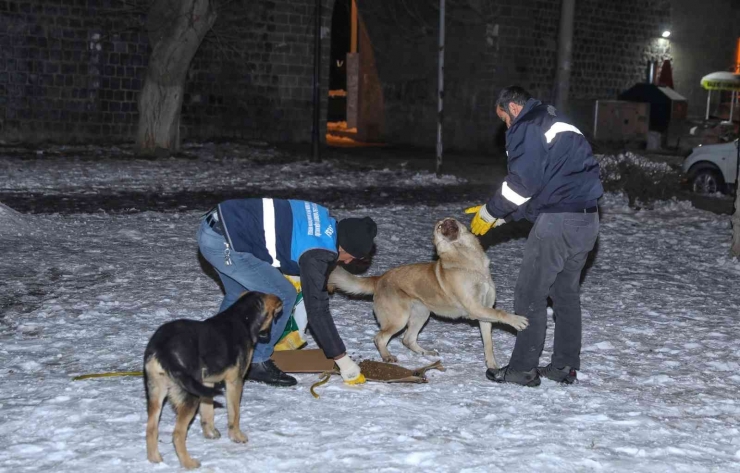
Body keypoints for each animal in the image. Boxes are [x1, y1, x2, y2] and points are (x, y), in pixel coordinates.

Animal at [144, 290, 280, 466]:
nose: (267, 336)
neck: (242, 317)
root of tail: (162, 347)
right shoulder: (235, 382)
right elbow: (234, 414)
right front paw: (237, 436)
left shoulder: (207, 383)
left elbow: (207, 411)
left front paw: (210, 433)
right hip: (189, 395)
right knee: (177, 434)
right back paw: (188, 463)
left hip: (156, 392)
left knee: (151, 429)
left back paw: (155, 460)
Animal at [328, 218, 528, 368]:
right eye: (439, 227)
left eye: (452, 221)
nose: (447, 223)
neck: (468, 263)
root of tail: (380, 278)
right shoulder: (475, 308)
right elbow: (500, 313)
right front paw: (517, 320)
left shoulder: (484, 312)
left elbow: (488, 344)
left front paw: (492, 366)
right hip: (399, 319)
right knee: (379, 338)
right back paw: (387, 356)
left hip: (421, 315)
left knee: (407, 339)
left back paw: (426, 352)